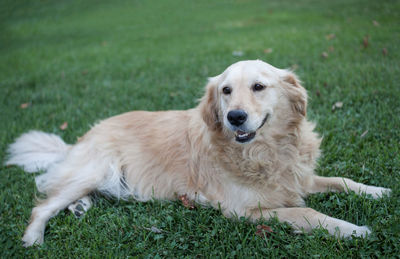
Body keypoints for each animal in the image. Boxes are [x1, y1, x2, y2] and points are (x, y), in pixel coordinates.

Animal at [6, 59, 390, 248]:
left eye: (259, 86)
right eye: (226, 90)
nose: (235, 117)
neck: (264, 151)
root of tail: (82, 137)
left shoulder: (297, 178)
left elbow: (342, 180)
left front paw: (378, 191)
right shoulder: (244, 210)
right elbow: (307, 213)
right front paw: (353, 230)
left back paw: (80, 207)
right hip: (95, 170)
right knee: (42, 206)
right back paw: (33, 239)